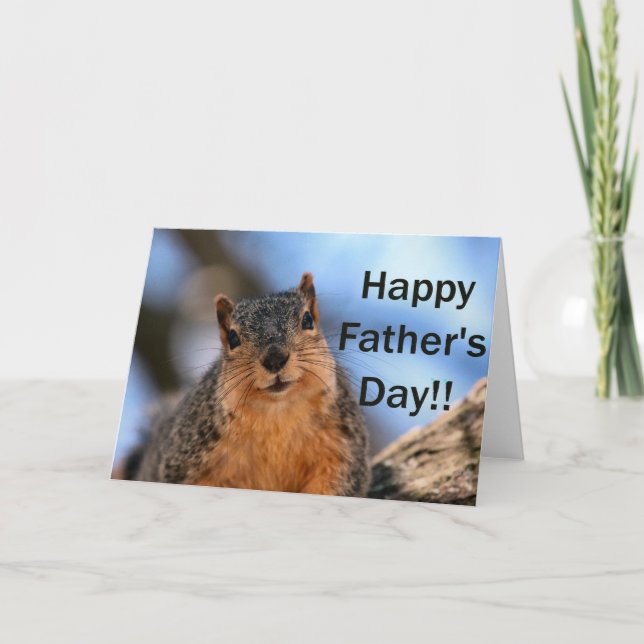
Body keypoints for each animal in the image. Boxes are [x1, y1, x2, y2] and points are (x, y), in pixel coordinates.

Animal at [117, 272, 371, 497]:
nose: (274, 358)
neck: (278, 414)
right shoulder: (188, 455)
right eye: (232, 338)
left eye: (307, 320)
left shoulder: (341, 448)